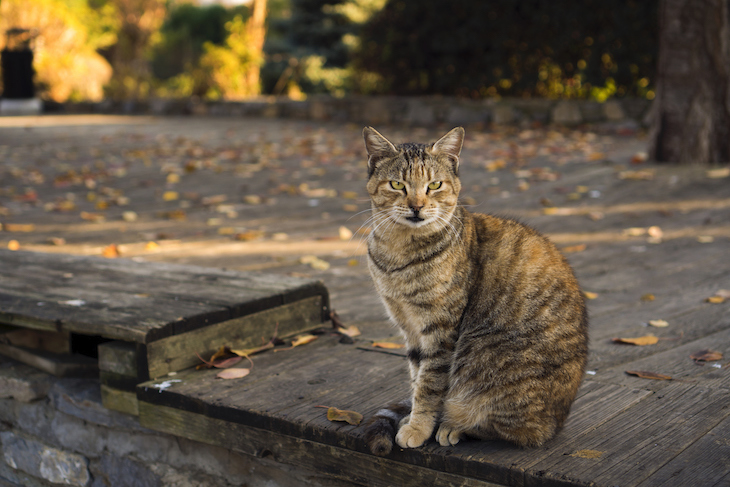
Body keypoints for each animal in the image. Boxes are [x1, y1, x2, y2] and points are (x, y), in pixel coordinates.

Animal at [362, 126, 588, 458]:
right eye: (397, 184)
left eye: (434, 185)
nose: (417, 206)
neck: (398, 251)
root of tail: (557, 423)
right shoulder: (409, 326)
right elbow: (417, 376)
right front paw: (415, 418)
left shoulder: (440, 329)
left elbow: (429, 385)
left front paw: (419, 427)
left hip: (489, 368)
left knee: (512, 429)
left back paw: (454, 425)